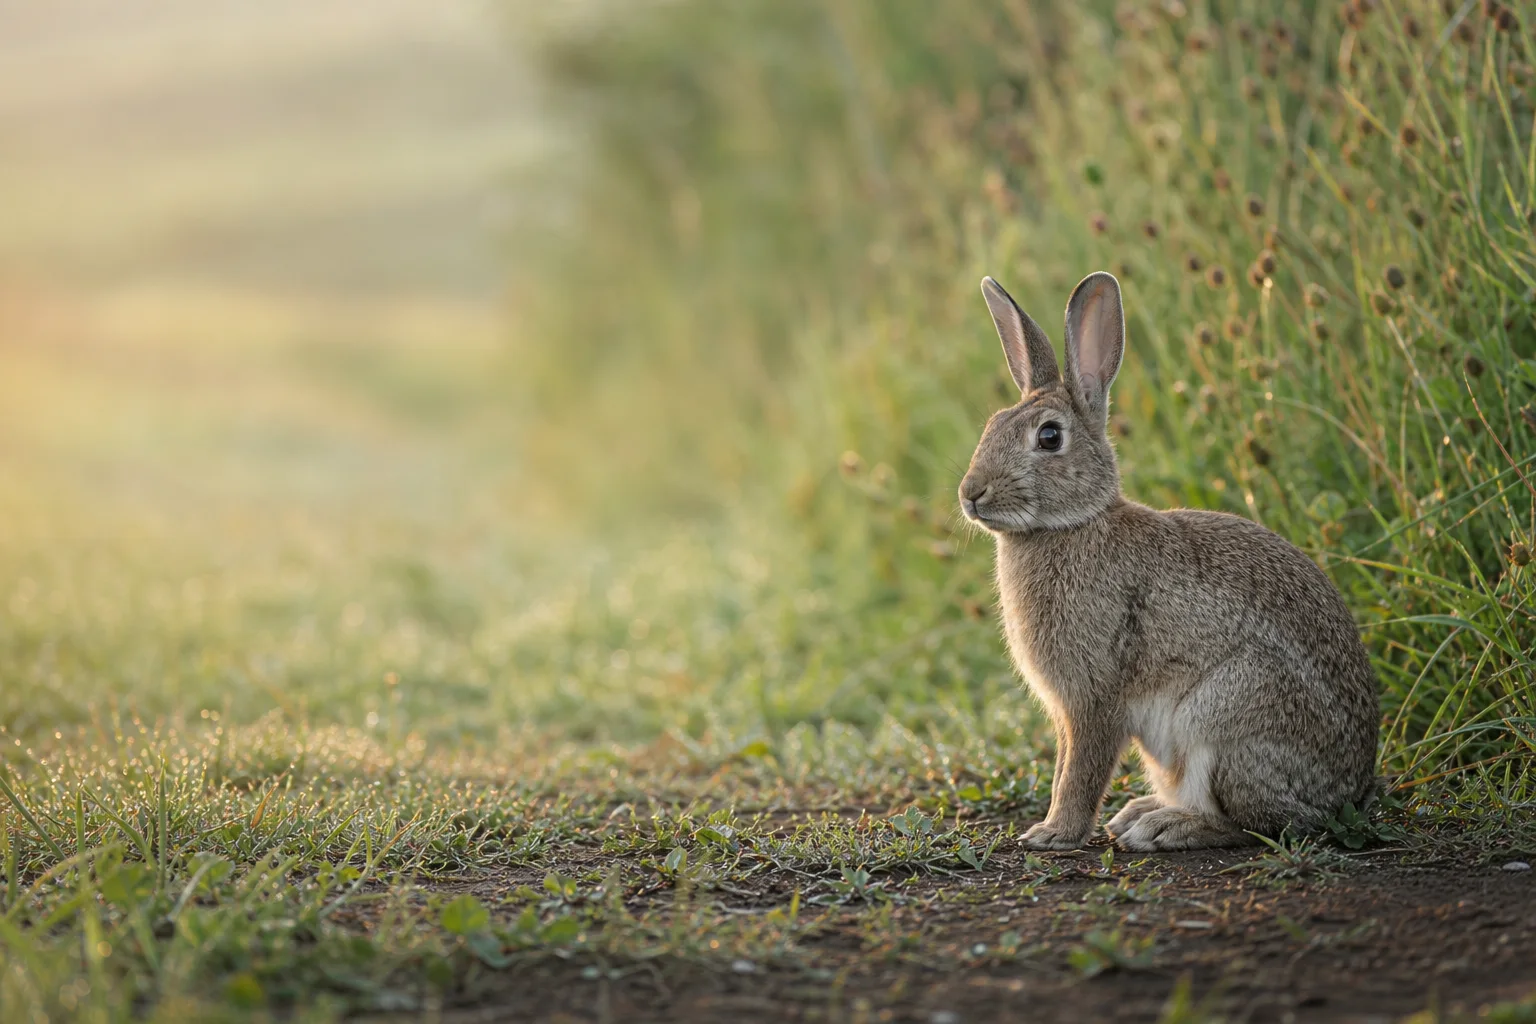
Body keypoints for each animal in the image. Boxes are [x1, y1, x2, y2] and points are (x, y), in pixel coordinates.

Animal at [958, 272, 1379, 851]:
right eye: (993, 424)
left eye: (1049, 436)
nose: (970, 493)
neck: (1072, 525)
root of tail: (1351, 795)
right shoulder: (1068, 710)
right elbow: (1066, 763)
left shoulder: (1094, 697)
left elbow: (1080, 771)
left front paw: (1053, 833)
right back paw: (1142, 812)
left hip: (1224, 720)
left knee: (1256, 823)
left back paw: (1164, 827)